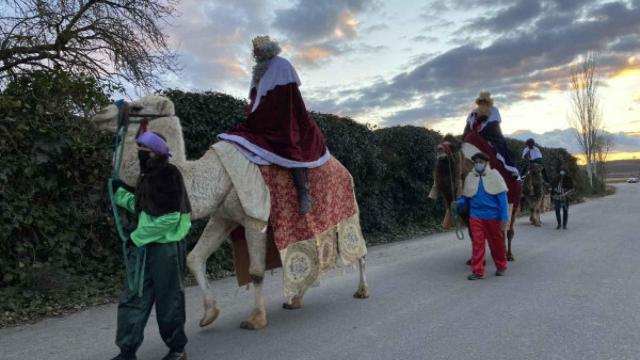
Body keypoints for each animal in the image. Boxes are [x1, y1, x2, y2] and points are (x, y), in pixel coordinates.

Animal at [92, 95, 368, 330]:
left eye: (138, 106)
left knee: (357, 246)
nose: (99, 113)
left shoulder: (254, 218)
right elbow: (194, 257)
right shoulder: (222, 216)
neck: (213, 176)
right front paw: (209, 314)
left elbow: (255, 271)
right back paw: (296, 300)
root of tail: (345, 170)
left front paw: (256, 319)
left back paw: (361, 290)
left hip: (347, 207)